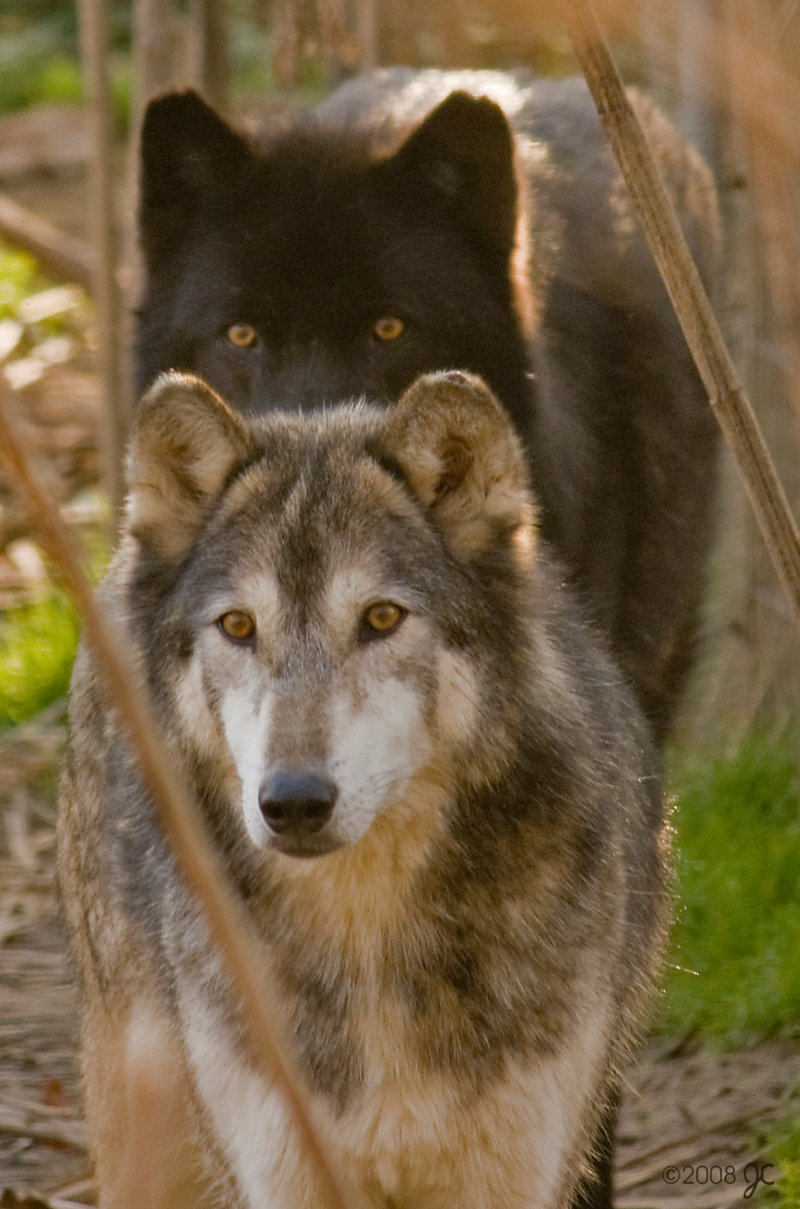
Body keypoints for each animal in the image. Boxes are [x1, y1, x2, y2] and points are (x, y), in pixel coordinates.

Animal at [58, 367, 671, 1209]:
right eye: (239, 626)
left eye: (381, 617)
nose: (292, 800)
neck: (365, 935)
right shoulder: (282, 1171)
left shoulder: (511, 1172)